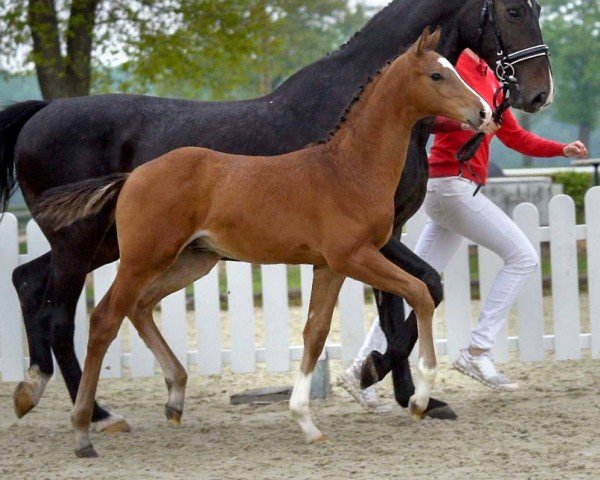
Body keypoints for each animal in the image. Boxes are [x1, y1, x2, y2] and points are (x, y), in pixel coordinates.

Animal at [35, 28, 490, 456]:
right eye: (436, 75)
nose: (483, 112)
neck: (348, 168)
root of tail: (132, 177)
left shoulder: (329, 266)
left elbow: (315, 332)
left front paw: (306, 422)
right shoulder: (355, 257)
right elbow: (421, 293)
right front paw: (420, 398)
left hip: (192, 261)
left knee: (140, 307)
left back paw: (175, 397)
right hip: (142, 259)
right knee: (103, 319)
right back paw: (84, 429)